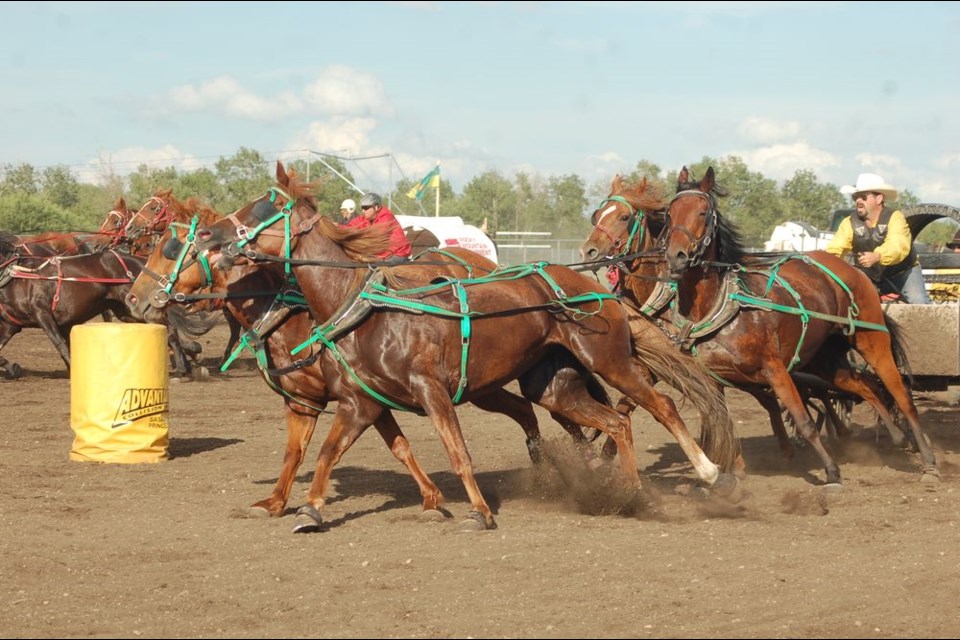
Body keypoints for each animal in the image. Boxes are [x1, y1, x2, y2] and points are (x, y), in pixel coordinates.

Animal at [125, 212, 616, 516]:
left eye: (172, 249)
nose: (134, 298)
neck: (296, 312)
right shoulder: (324, 401)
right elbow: (311, 451)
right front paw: (277, 502)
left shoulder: (355, 398)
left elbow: (377, 448)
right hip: (486, 384)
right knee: (529, 410)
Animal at [182, 162, 744, 532]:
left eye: (267, 207)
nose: (209, 234)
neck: (365, 306)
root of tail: (594, 286)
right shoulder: (360, 401)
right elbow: (325, 454)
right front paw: (310, 508)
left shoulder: (429, 391)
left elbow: (456, 452)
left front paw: (479, 511)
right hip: (553, 385)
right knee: (615, 423)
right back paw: (628, 493)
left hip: (609, 360)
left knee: (660, 404)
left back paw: (709, 471)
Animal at [660, 166, 936, 484]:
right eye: (670, 213)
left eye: (703, 212)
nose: (676, 256)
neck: (722, 306)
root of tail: (853, 269)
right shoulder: (714, 380)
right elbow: (721, 426)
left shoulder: (775, 369)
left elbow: (803, 420)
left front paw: (831, 470)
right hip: (823, 360)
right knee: (862, 385)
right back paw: (897, 436)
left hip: (871, 340)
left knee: (899, 393)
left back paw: (928, 458)